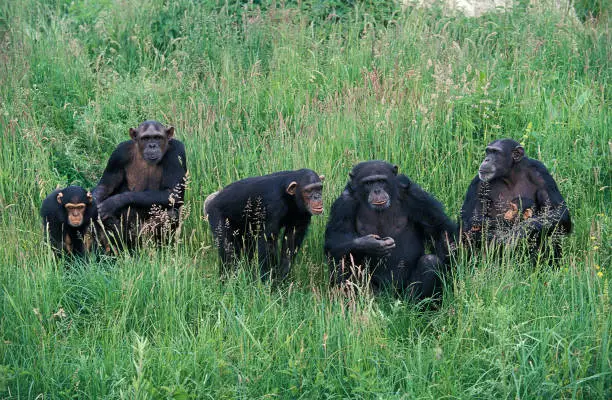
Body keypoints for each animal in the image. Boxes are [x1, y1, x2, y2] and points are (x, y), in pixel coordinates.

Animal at [92, 120, 186, 248]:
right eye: (145, 138)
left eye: (157, 137)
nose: (152, 145)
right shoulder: (118, 154)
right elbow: (106, 185)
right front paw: (95, 205)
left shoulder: (177, 151)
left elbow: (173, 193)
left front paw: (114, 202)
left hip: (138, 236)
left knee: (171, 215)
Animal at [326, 160, 454, 300]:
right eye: (368, 183)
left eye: (381, 181)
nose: (377, 190)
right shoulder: (344, 203)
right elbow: (336, 237)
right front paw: (371, 245)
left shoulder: (415, 195)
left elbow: (439, 229)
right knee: (343, 258)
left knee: (430, 261)